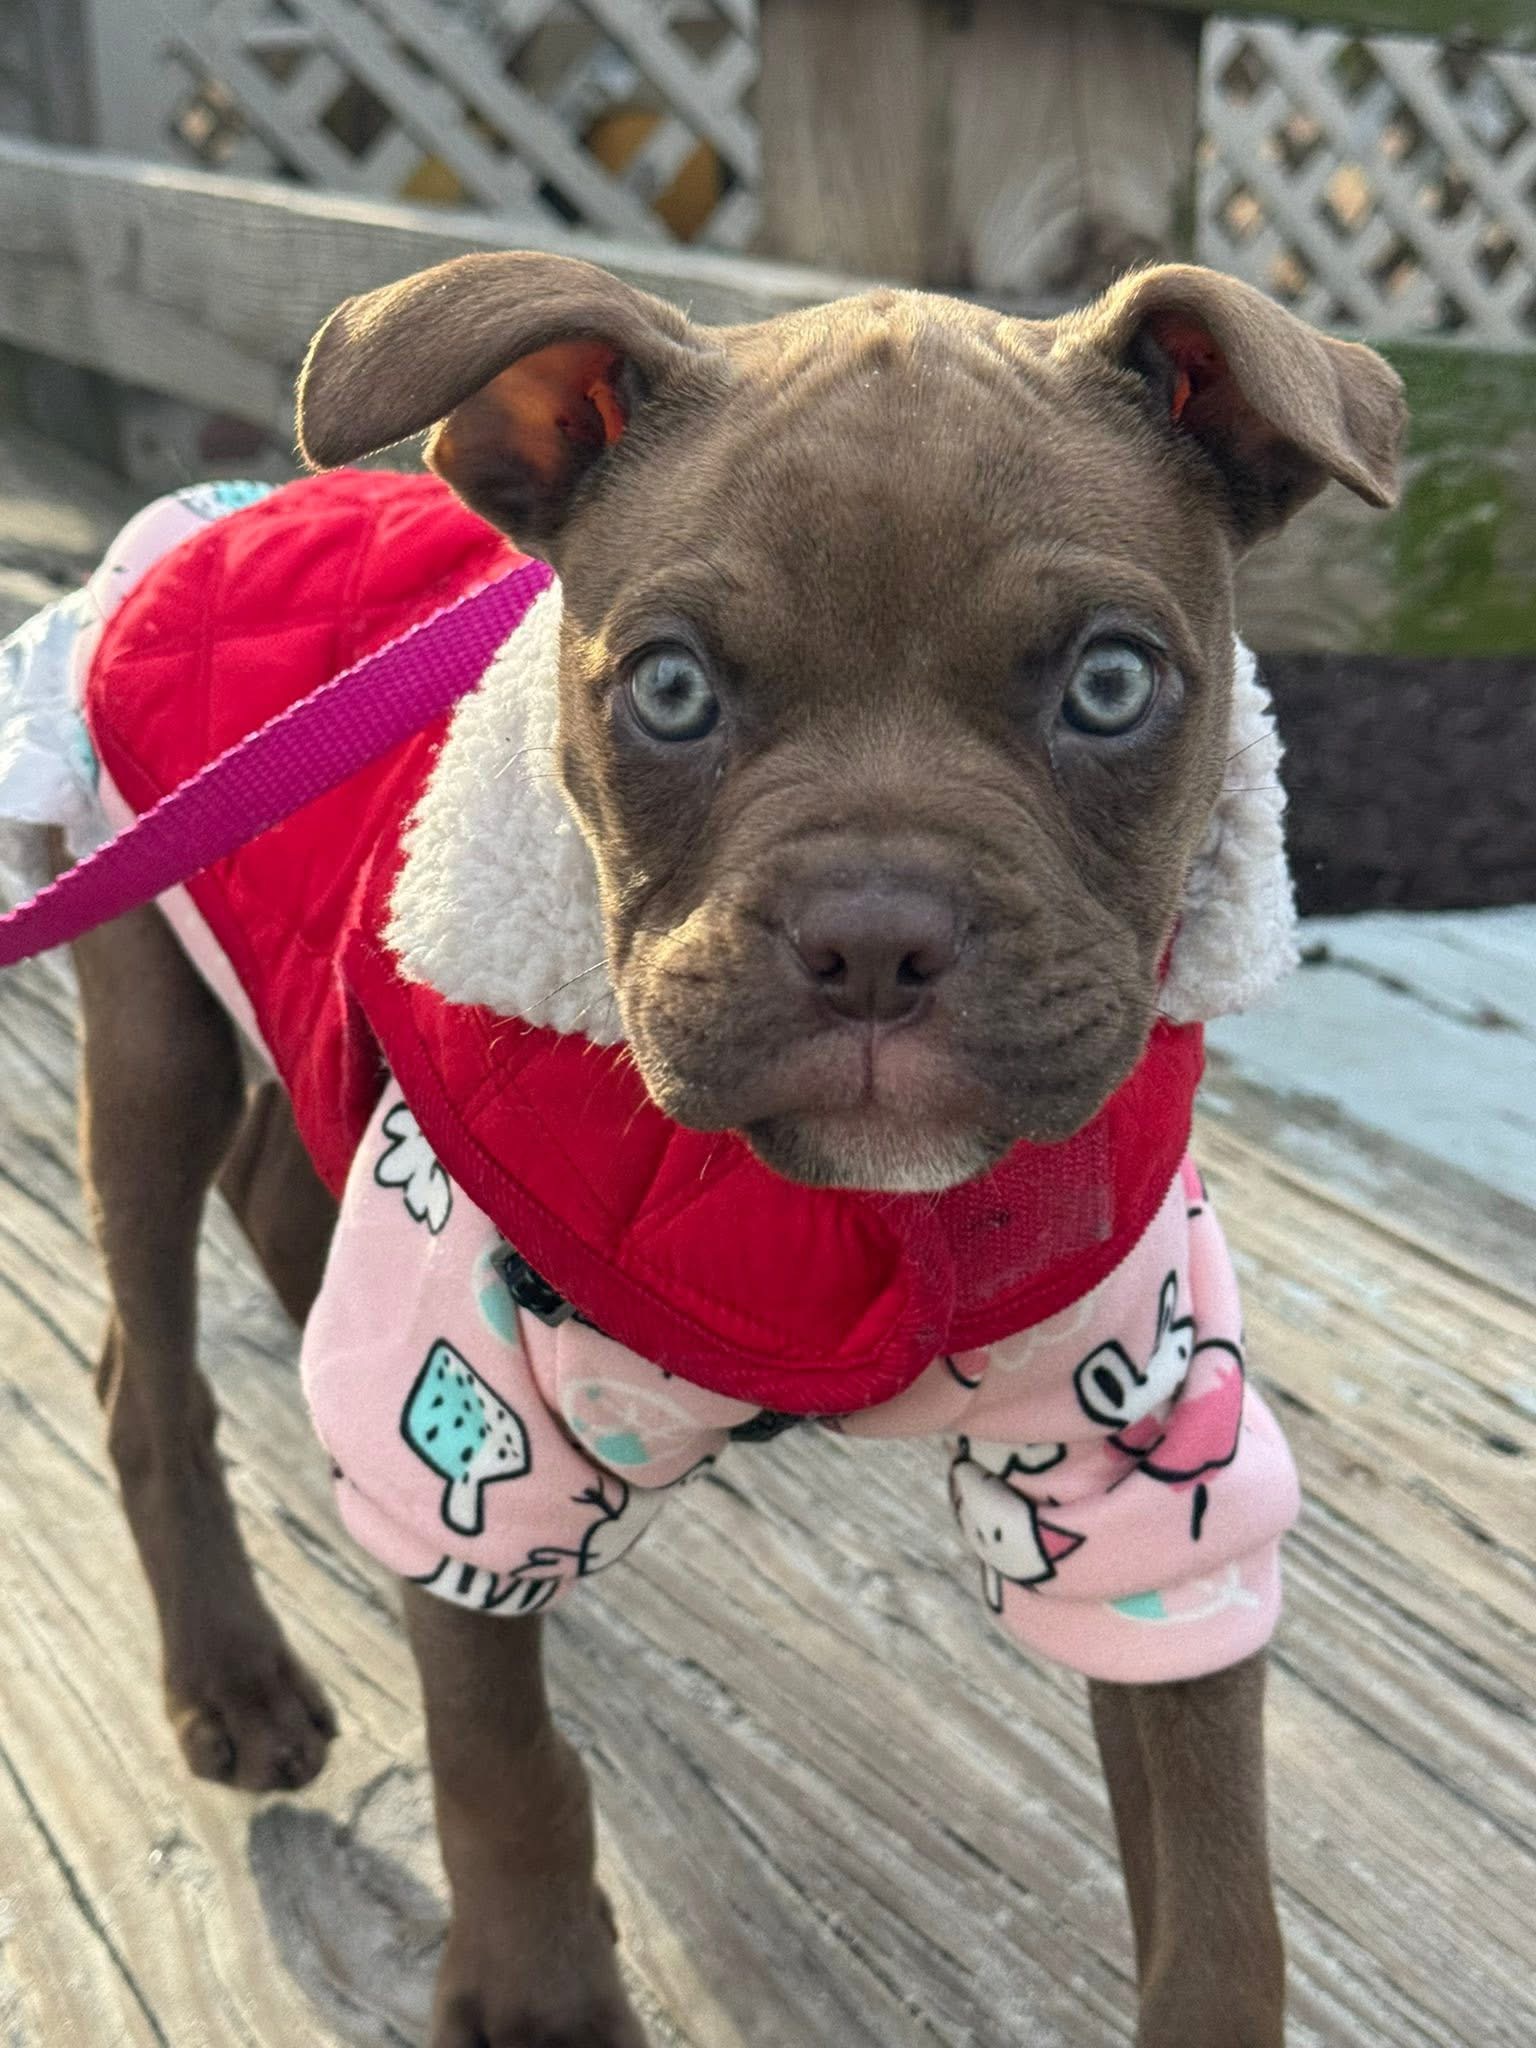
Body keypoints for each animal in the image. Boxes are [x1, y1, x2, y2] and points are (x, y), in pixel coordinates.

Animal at [37, 253, 1403, 2048]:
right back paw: (231, 1671)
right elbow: (494, 1746)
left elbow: (1217, 1874)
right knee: (148, 1361)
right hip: (150, 1027)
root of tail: (238, 507)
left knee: (290, 1183)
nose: (877, 934)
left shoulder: (1141, 1443)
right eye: (669, 689)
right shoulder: (467, 1414)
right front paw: (538, 1988)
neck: (841, 1220)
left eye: (1111, 686)